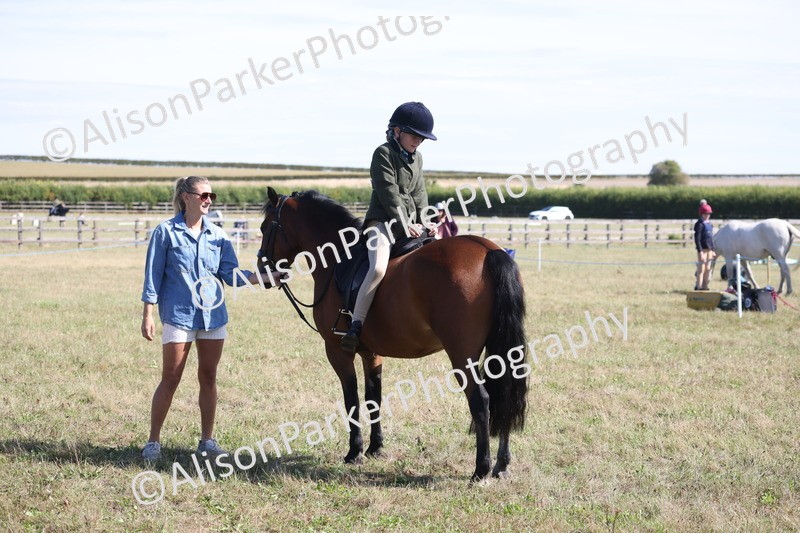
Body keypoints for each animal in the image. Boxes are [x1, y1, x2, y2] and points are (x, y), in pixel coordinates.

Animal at [257, 187, 529, 482]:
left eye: (264, 228)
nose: (262, 272)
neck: (340, 260)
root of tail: (488, 250)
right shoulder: (371, 353)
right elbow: (373, 397)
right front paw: (376, 447)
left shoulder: (337, 351)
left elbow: (351, 399)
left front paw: (354, 452)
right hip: (500, 352)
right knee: (503, 394)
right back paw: (502, 465)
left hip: (461, 355)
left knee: (481, 401)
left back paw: (481, 469)